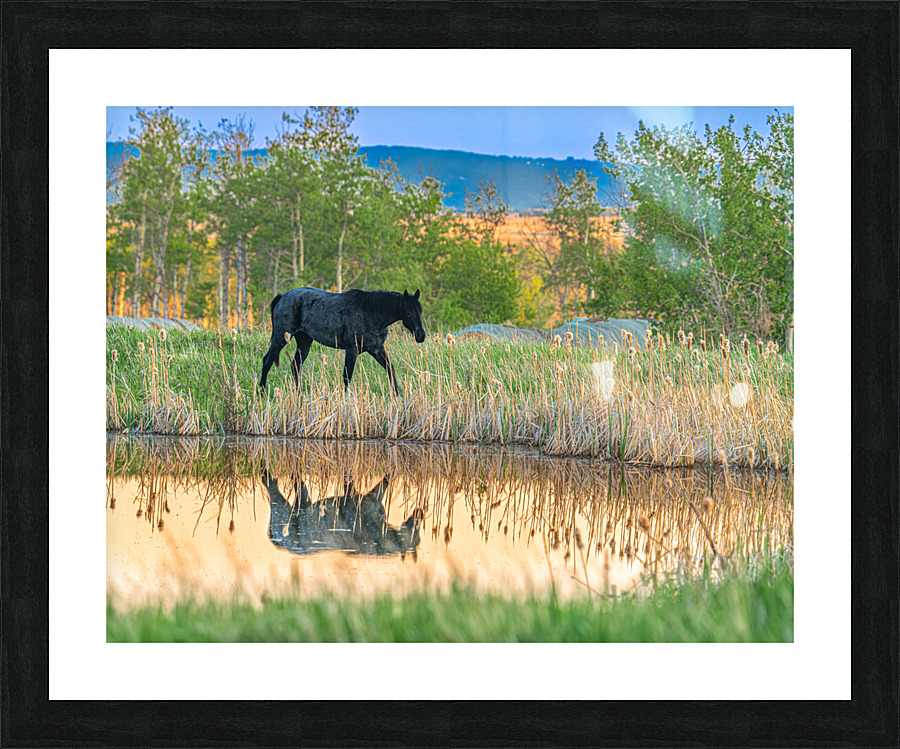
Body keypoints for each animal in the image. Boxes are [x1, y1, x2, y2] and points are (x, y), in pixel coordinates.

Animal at [258, 287, 426, 395]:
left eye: (420, 310)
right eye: (408, 313)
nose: (421, 335)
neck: (371, 314)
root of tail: (284, 295)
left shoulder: (377, 350)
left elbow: (390, 370)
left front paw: (398, 394)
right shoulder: (352, 350)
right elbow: (347, 376)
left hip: (304, 341)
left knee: (295, 366)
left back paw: (299, 394)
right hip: (280, 338)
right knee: (267, 361)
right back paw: (262, 392)